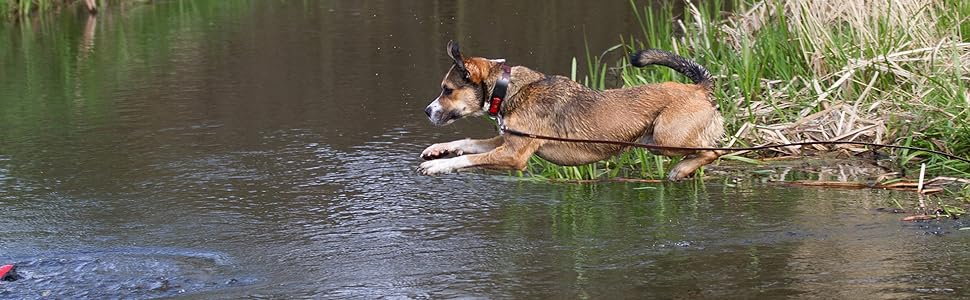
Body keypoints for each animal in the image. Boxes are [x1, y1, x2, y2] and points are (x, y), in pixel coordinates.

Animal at [416, 40, 720, 180]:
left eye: (447, 90)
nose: (427, 111)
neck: (508, 89)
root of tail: (700, 88)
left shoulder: (514, 155)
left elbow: (468, 158)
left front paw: (437, 165)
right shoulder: (505, 141)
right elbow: (465, 143)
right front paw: (436, 150)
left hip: (666, 140)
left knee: (713, 151)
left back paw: (682, 169)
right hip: (656, 142)